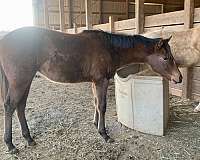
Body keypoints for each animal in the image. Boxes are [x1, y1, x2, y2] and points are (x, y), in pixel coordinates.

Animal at [0, 26, 182, 153]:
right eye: (165, 58)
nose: (178, 78)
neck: (109, 48)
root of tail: (5, 40)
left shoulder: (95, 82)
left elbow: (95, 102)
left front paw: (95, 124)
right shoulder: (102, 81)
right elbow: (102, 106)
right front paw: (104, 134)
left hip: (25, 81)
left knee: (20, 106)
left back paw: (29, 138)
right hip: (20, 81)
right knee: (10, 106)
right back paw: (10, 145)